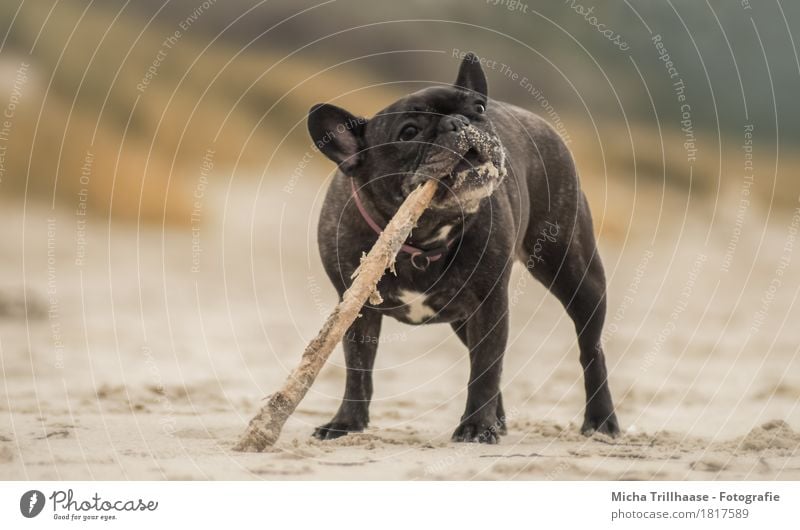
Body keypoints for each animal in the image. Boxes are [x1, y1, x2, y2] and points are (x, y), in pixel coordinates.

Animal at [308, 52, 620, 442]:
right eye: (409, 132)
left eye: (478, 108)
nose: (459, 121)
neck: (420, 237)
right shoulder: (357, 311)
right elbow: (358, 370)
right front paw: (347, 423)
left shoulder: (490, 304)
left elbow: (486, 367)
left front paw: (476, 426)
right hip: (463, 318)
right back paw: (499, 420)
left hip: (575, 272)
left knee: (591, 349)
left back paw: (600, 420)